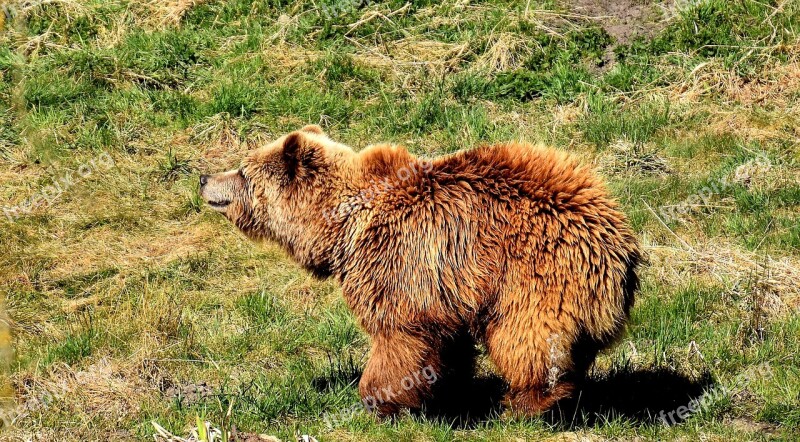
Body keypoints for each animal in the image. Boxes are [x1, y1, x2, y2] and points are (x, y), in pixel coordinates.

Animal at [202, 125, 644, 418]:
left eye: (243, 171)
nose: (206, 177)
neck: (343, 226)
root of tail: (619, 242)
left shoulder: (398, 262)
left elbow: (399, 336)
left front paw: (378, 400)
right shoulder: (446, 288)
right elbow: (446, 345)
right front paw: (447, 390)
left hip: (534, 274)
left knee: (527, 337)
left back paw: (525, 403)